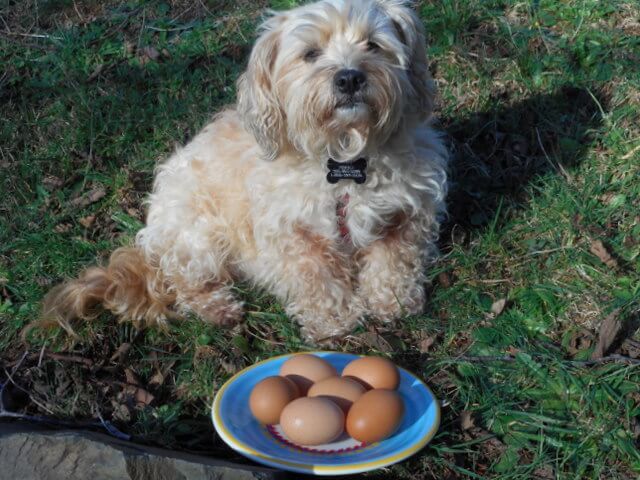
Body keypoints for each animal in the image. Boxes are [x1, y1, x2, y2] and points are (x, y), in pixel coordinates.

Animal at [40, 0, 448, 344]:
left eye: (373, 45)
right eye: (310, 54)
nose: (349, 77)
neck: (344, 159)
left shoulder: (405, 213)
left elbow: (394, 262)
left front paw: (392, 303)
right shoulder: (291, 233)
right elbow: (315, 278)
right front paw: (334, 322)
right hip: (197, 238)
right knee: (183, 283)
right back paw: (218, 308)